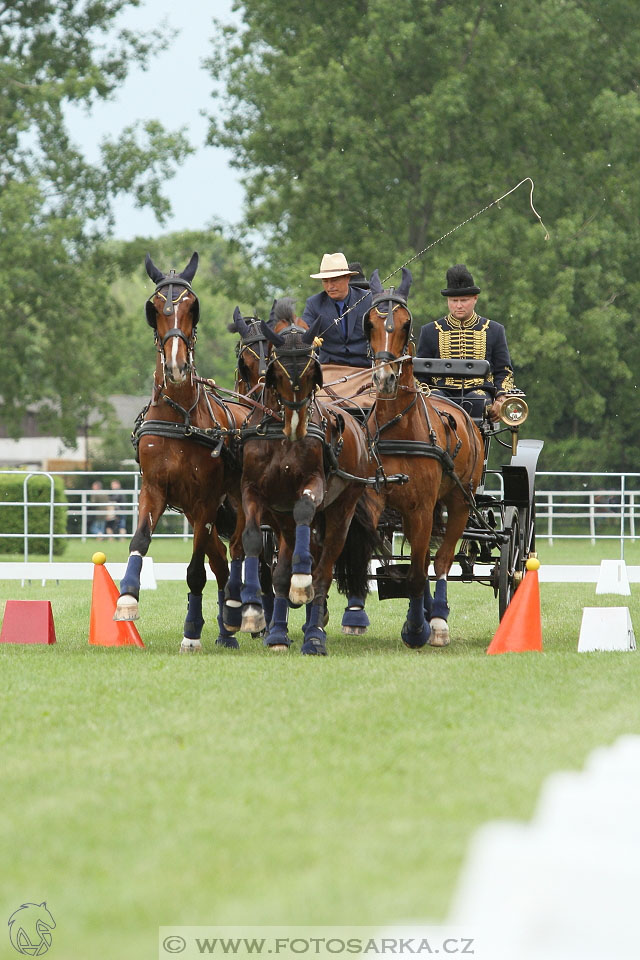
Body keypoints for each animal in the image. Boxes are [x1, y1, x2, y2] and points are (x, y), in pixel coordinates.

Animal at [114, 251, 249, 652]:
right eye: (155, 308)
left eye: (192, 307)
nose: (176, 367)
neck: (181, 418)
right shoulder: (155, 489)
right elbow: (140, 540)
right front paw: (127, 598)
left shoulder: (205, 499)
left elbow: (194, 572)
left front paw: (191, 632)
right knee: (221, 562)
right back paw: (225, 631)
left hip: (237, 503)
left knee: (240, 549)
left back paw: (237, 611)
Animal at [235, 300, 378, 656]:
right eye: (278, 370)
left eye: (313, 371)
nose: (297, 425)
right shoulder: (253, 492)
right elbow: (253, 541)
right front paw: (254, 612)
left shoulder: (313, 486)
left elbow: (304, 520)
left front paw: (302, 588)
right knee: (285, 568)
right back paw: (279, 632)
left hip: (342, 509)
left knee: (324, 569)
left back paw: (314, 634)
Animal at [362, 266, 482, 648]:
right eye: (370, 323)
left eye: (405, 324)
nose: (384, 379)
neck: (398, 426)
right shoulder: (377, 499)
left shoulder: (422, 507)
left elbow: (419, 571)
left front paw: (417, 628)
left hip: (459, 501)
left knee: (440, 562)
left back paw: (438, 621)